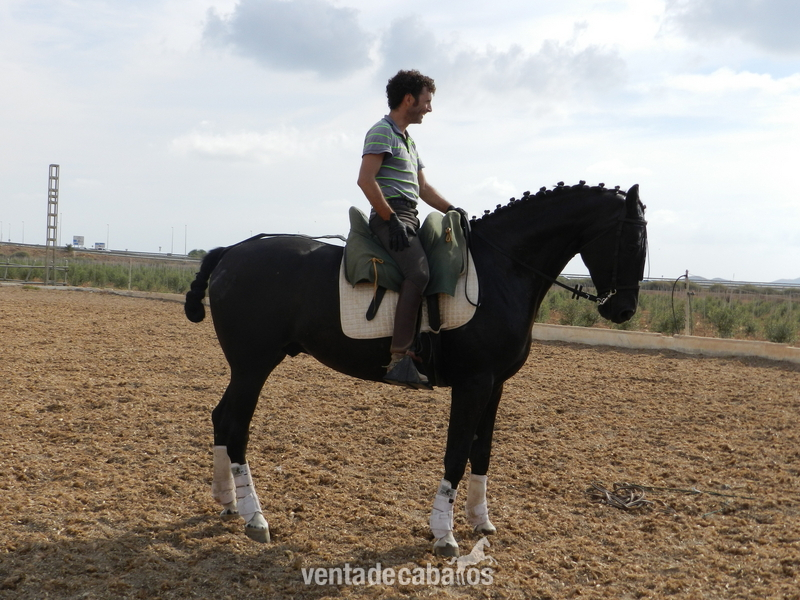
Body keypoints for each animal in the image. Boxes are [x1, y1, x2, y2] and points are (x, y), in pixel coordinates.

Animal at [184, 181, 647, 557]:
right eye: (632, 242)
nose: (624, 310)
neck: (501, 271)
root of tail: (231, 253)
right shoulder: (473, 384)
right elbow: (456, 453)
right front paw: (445, 534)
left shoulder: (495, 385)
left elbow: (482, 450)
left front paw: (481, 520)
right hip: (254, 366)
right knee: (237, 428)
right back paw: (254, 517)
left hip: (245, 368)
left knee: (221, 418)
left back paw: (227, 502)